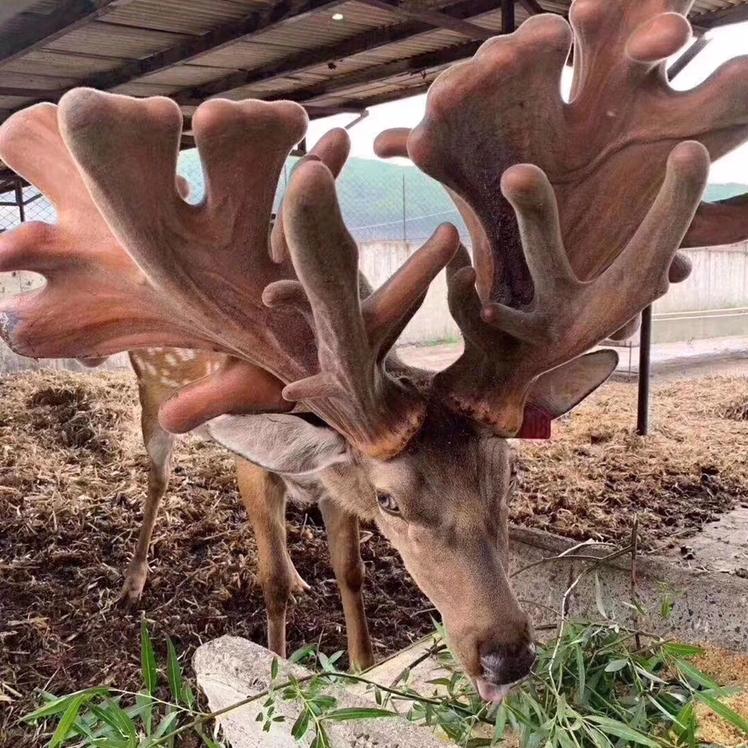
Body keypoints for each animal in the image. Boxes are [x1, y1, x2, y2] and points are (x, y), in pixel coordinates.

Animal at [1, 0, 747, 705]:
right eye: (390, 500)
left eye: (506, 474)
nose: (507, 655)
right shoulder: (257, 462)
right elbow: (267, 583)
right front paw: (277, 666)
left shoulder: (333, 478)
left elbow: (351, 573)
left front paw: (360, 665)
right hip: (154, 391)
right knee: (157, 476)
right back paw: (132, 581)